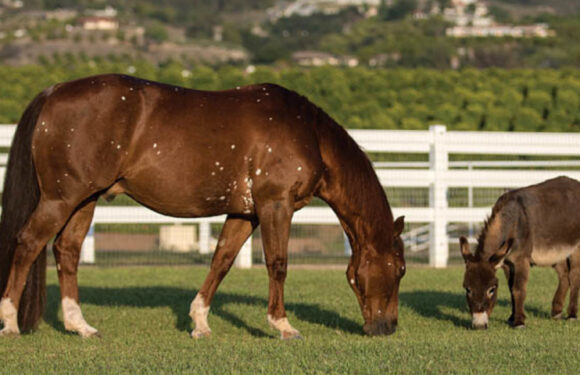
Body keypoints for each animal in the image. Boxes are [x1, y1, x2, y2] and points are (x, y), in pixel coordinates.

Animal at [0, 75, 406, 340]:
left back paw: (79, 325)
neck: (308, 133)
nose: (387, 328)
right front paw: (282, 325)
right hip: (61, 198)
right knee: (28, 243)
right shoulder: (276, 205)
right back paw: (10, 322)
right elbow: (277, 264)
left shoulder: (245, 212)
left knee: (66, 251)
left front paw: (200, 322)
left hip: (84, 199)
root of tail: (54, 92)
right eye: (400, 269)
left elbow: (221, 261)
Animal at [460, 176, 580, 328]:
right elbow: (511, 288)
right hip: (557, 251)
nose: (479, 325)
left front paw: (519, 322)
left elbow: (518, 289)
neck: (512, 221)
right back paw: (556, 311)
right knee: (564, 276)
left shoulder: (521, 259)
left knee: (574, 276)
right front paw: (512, 317)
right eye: (467, 289)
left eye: (492, 289)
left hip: (576, 248)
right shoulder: (506, 262)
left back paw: (572, 315)